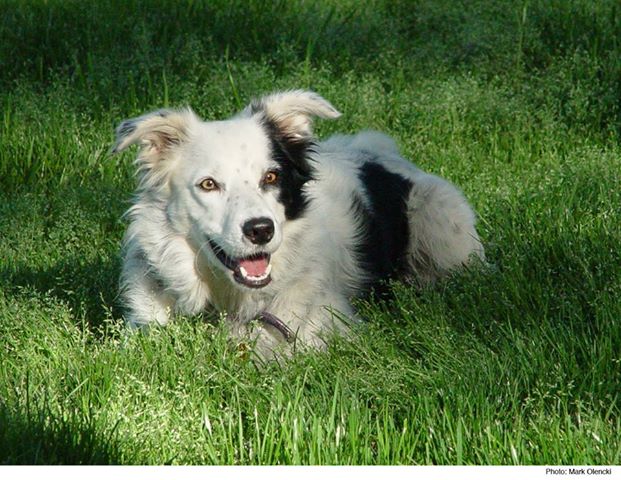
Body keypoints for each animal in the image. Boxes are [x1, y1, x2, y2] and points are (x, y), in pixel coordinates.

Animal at [115, 90, 484, 354]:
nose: (261, 229)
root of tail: (379, 150)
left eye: (271, 176)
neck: (232, 302)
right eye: (209, 184)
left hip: (440, 219)